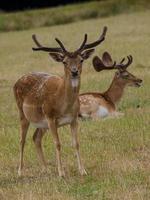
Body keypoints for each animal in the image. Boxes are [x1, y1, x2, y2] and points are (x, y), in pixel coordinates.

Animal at [13, 26, 108, 177]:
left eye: (81, 60)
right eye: (64, 62)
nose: (74, 71)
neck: (64, 106)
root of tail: (16, 82)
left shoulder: (74, 119)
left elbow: (76, 143)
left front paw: (82, 170)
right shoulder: (51, 118)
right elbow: (57, 143)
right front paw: (61, 173)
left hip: (41, 122)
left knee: (35, 138)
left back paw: (46, 169)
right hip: (23, 113)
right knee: (22, 139)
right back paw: (20, 171)